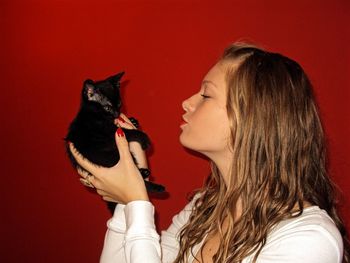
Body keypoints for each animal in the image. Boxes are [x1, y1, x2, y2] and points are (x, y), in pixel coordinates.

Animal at [64, 71, 165, 213]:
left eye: (119, 104)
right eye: (107, 107)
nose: (117, 114)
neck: (93, 113)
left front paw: (133, 121)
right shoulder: (108, 133)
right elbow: (128, 133)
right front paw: (144, 138)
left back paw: (144, 172)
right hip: (112, 156)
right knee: (143, 184)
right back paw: (158, 187)